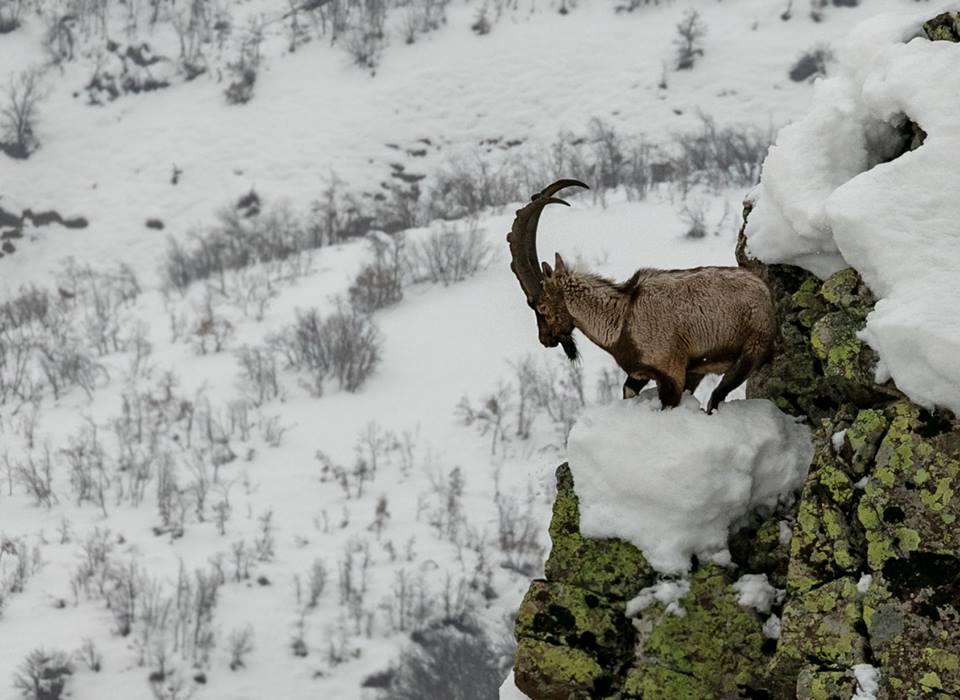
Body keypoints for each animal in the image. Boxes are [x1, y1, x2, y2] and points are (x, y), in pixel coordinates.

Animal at [506, 178, 776, 412]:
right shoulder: (642, 374)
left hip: (750, 351)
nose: (545, 339)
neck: (620, 319)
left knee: (717, 396)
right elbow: (628, 391)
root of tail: (765, 295)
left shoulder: (671, 372)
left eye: (540, 307)